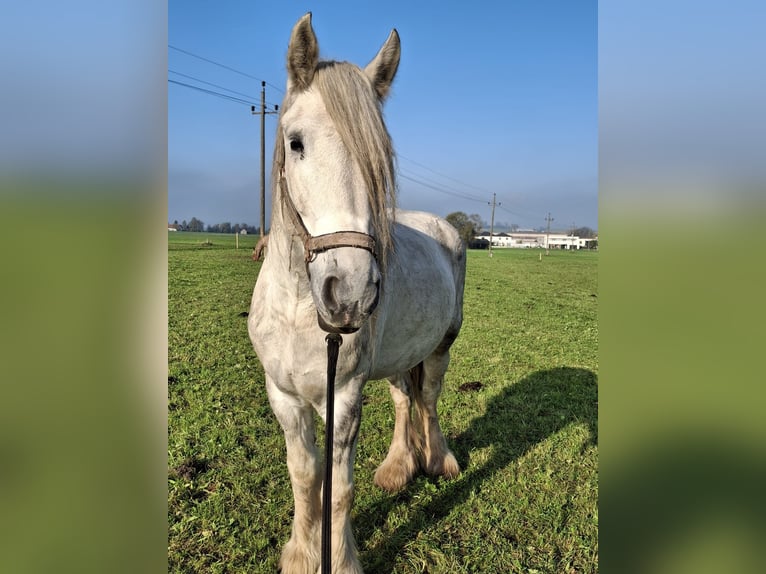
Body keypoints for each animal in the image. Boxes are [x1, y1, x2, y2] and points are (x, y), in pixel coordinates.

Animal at [248, 13, 466, 573]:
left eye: (378, 156)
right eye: (296, 143)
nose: (349, 292)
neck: (298, 309)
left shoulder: (343, 396)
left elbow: (339, 489)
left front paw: (339, 559)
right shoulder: (284, 397)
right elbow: (305, 478)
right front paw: (302, 555)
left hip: (441, 344)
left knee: (427, 397)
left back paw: (438, 460)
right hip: (395, 358)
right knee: (404, 399)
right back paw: (398, 468)